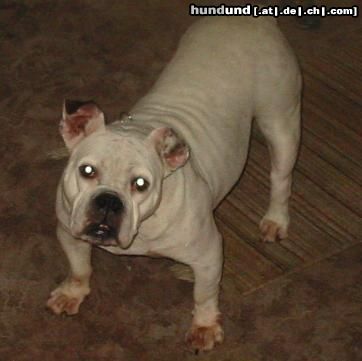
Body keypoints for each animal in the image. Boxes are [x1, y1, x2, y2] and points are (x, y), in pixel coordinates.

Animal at [46, 16, 302, 352]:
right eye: (87, 170)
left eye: (141, 183)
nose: (109, 201)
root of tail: (246, 17)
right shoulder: (69, 232)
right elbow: (79, 268)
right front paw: (72, 293)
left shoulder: (208, 255)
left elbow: (204, 294)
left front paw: (204, 326)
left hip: (281, 124)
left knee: (280, 178)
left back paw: (275, 219)